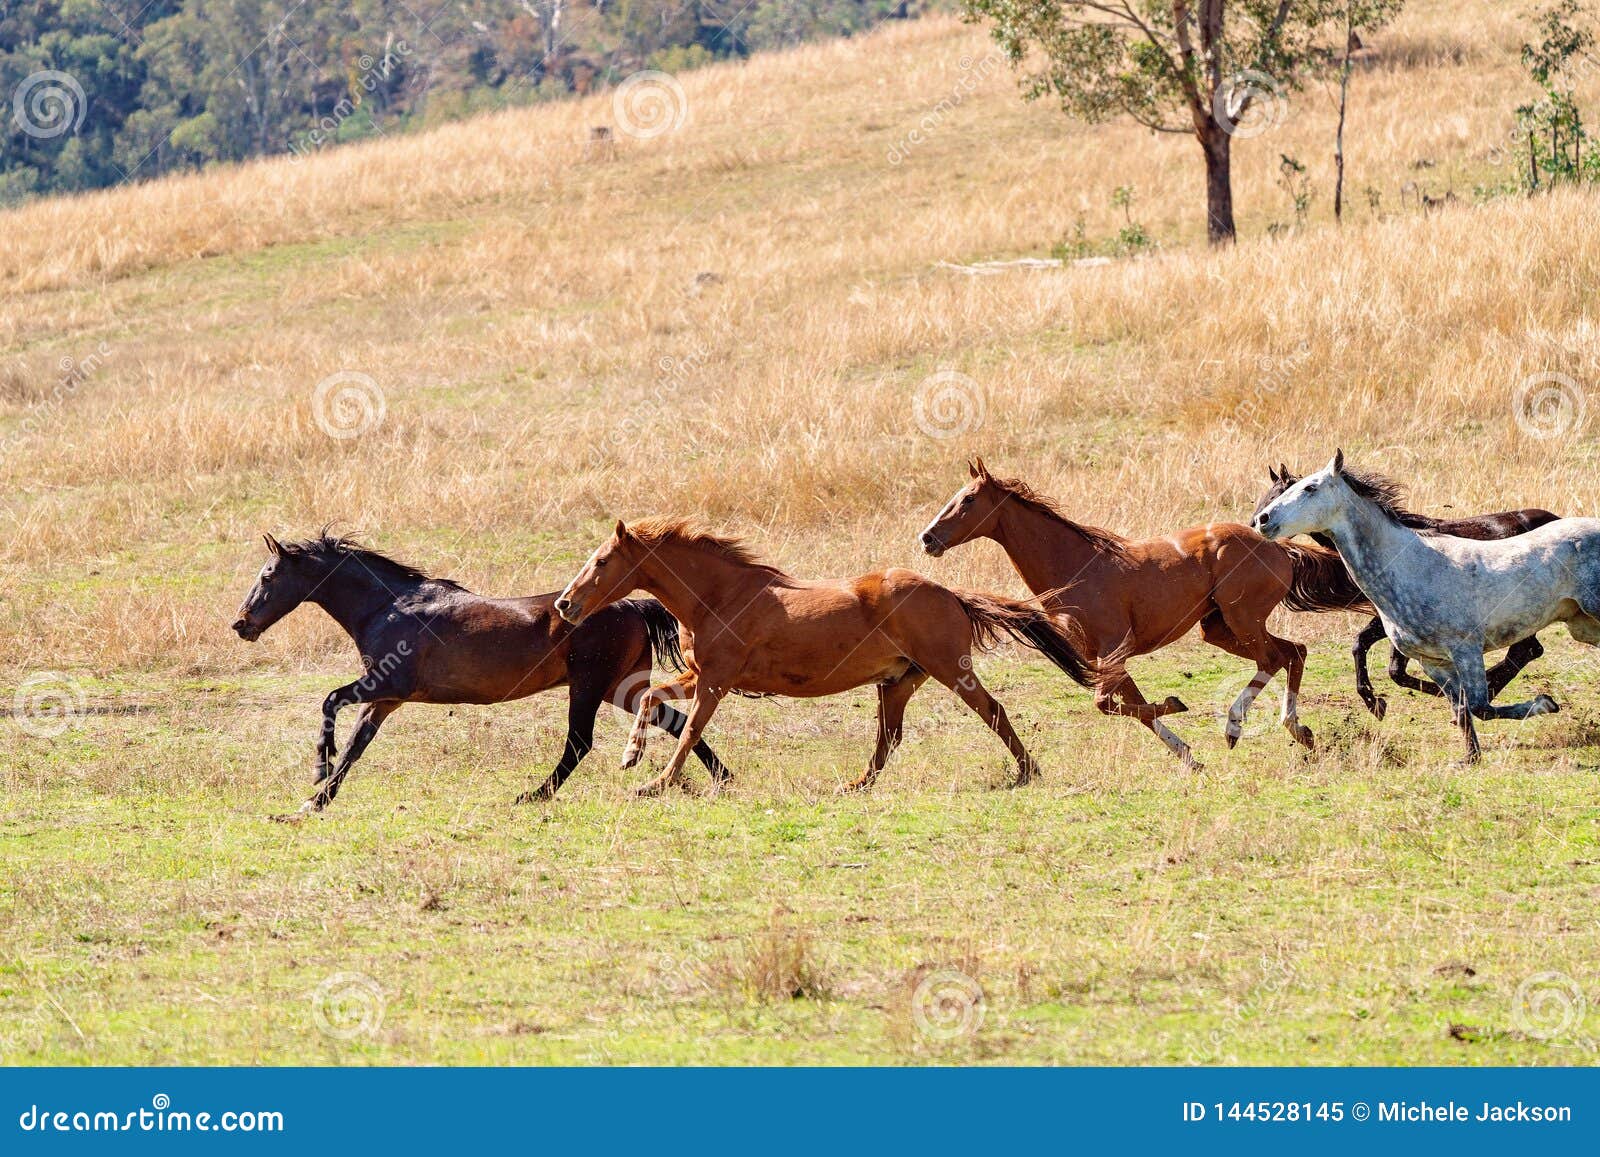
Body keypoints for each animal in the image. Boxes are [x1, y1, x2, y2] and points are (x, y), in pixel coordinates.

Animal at [232, 534, 732, 816]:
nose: (241, 624)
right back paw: (720, 780)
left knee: (579, 743)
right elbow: (357, 746)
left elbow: (330, 702)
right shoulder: (385, 698)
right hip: (619, 688)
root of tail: (633, 604)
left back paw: (532, 796)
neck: (387, 606)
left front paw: (319, 769)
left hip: (589, 687)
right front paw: (315, 802)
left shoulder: (387, 685)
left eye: (268, 574)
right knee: (673, 720)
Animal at [553, 521, 1100, 800]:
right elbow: (651, 697)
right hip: (897, 682)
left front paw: (654, 783)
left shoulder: (716, 681)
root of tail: (950, 594)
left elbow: (688, 731)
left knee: (993, 711)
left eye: (602, 561)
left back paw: (1028, 772)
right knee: (889, 737)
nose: (564, 604)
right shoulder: (699, 675)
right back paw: (855, 786)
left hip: (950, 670)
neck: (719, 596)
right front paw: (631, 755)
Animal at [915, 460, 1350, 768]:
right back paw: (1299, 731)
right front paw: (1188, 756)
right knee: (1293, 651)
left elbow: (1107, 705)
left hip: (1242, 620)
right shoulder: (1105, 660)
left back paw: (1236, 726)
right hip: (1219, 629)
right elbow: (1132, 707)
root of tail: (1279, 547)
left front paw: (1176, 704)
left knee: (1275, 658)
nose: (927, 538)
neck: (1075, 565)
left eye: (968, 500)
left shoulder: (1114, 651)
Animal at [1254, 451, 1593, 761]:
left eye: (1308, 488)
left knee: (1524, 653)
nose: (1259, 521)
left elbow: (1391, 665)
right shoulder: (1417, 645)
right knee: (1525, 651)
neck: (1406, 557)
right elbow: (1408, 675)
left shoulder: (1446, 641)